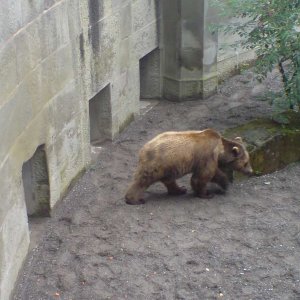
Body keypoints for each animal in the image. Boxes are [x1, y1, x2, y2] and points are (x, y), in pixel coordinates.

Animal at [124, 127, 253, 205]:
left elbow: (214, 174)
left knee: (169, 180)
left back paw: (180, 190)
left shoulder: (208, 160)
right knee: (143, 180)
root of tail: (143, 149)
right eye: (246, 162)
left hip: (169, 166)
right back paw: (135, 199)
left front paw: (224, 185)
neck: (220, 151)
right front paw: (207, 194)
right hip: (157, 163)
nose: (251, 171)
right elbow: (202, 176)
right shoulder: (207, 156)